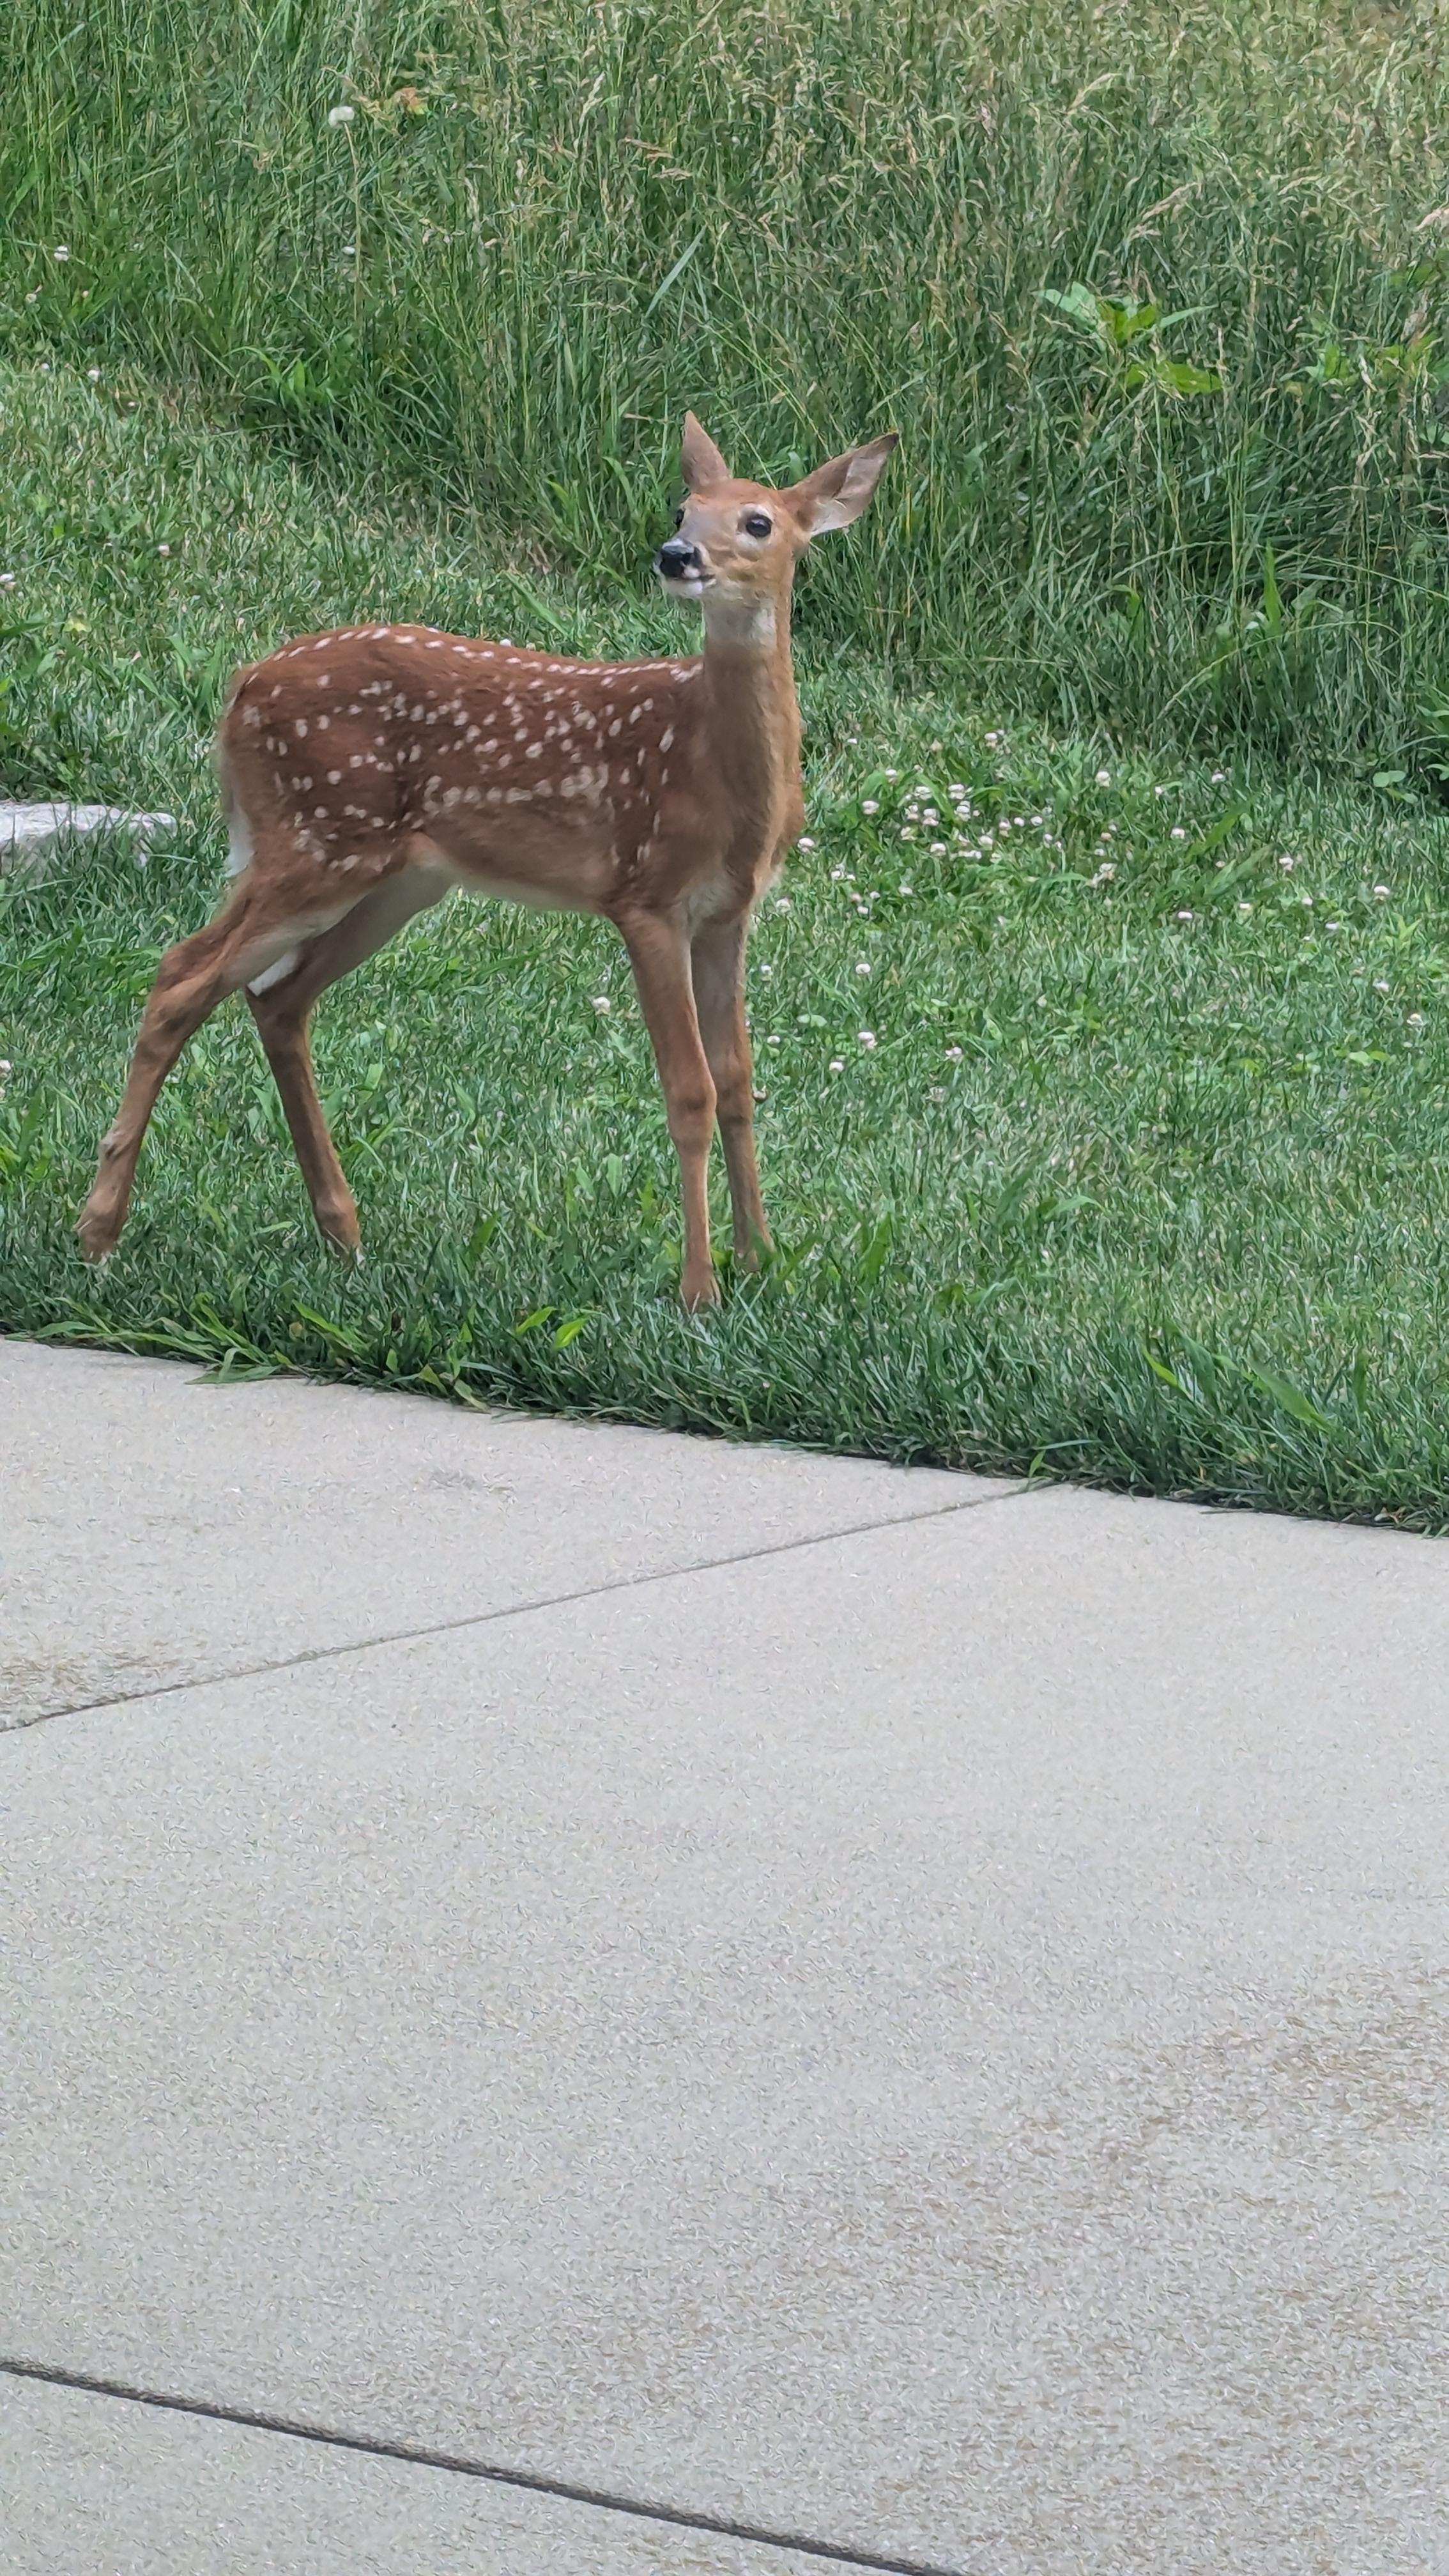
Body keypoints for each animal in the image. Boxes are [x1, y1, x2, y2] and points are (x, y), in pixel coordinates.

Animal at [77, 414, 897, 1307]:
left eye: (759, 523)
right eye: (684, 506)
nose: (676, 555)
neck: (716, 767)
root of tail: (240, 686)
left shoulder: (729, 913)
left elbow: (740, 1081)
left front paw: (760, 1264)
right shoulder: (644, 895)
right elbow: (689, 1090)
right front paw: (699, 1292)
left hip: (397, 880)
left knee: (276, 998)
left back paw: (343, 1234)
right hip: (315, 840)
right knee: (179, 976)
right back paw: (99, 1232)